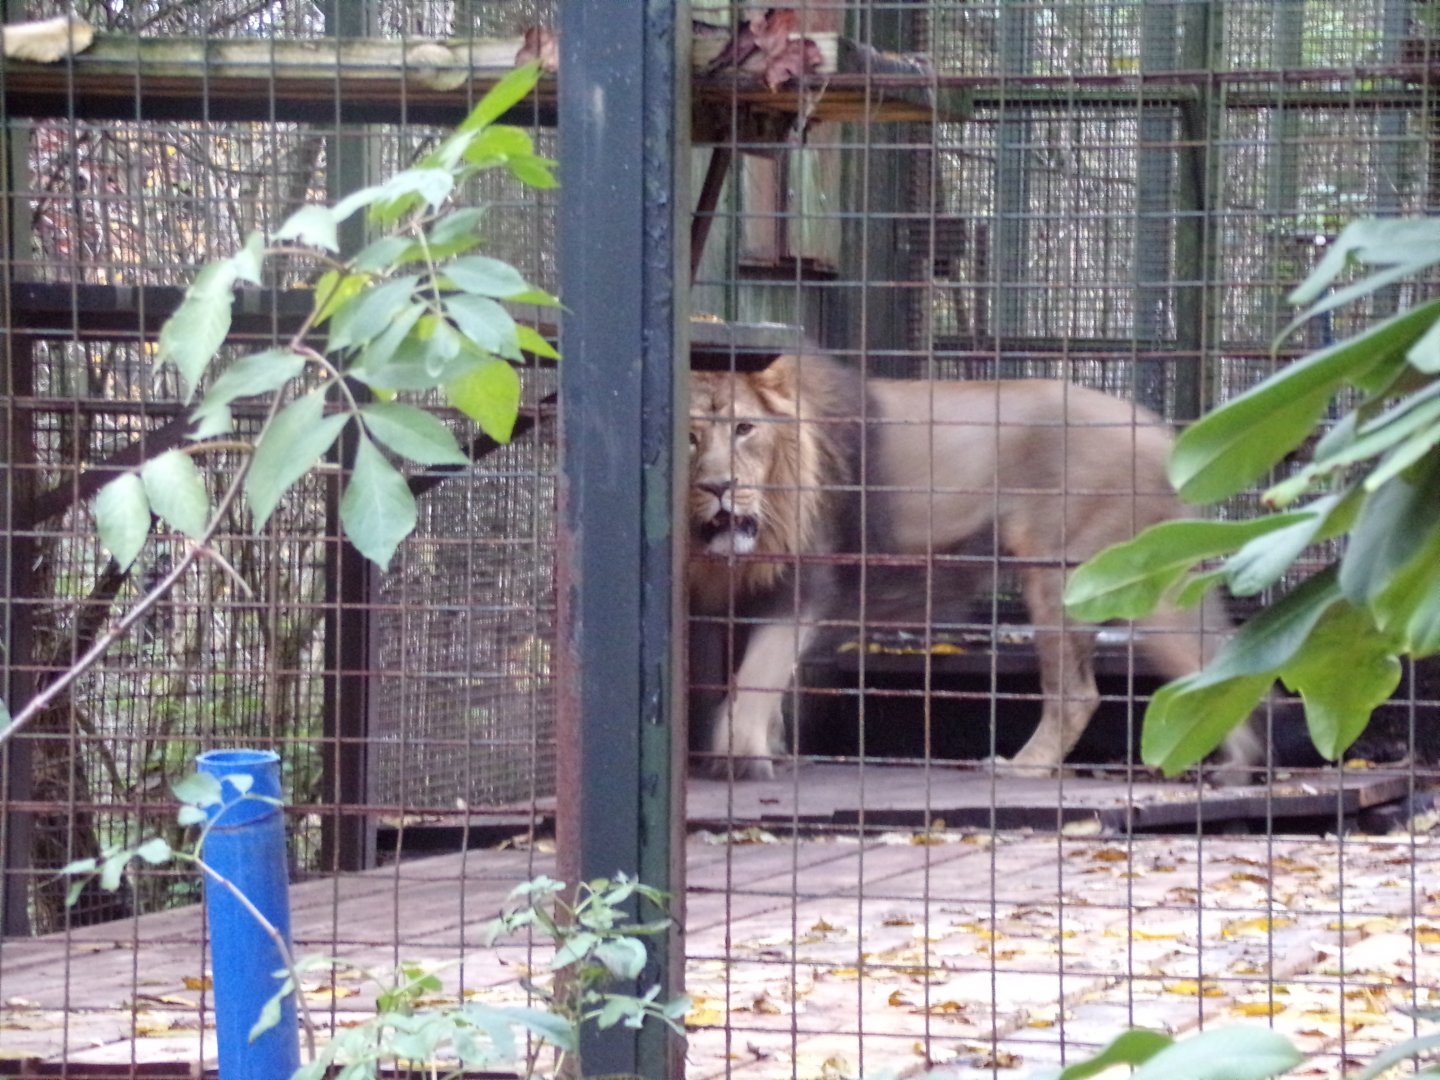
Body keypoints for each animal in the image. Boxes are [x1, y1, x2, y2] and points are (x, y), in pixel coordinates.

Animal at [689, 351, 1263, 782]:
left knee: (1077, 693)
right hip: (1149, 579)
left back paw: (1023, 767)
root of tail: (1160, 434)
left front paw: (741, 757)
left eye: (744, 428)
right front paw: (766, 750)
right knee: (1213, 661)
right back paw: (1240, 766)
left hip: (1063, 574)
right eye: (691, 436)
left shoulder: (807, 579)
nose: (719, 487)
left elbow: (757, 677)